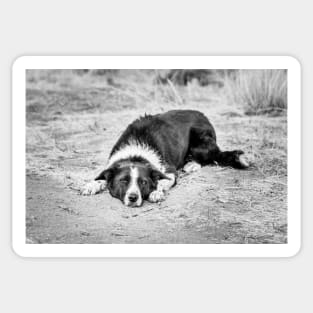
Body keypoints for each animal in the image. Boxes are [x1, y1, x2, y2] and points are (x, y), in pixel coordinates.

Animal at [81, 108, 249, 206]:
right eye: (123, 181)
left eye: (143, 182)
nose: (133, 198)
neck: (136, 153)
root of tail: (204, 115)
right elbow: (101, 177)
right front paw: (91, 185)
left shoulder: (169, 170)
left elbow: (162, 181)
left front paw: (156, 192)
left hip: (200, 140)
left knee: (210, 156)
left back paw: (192, 164)